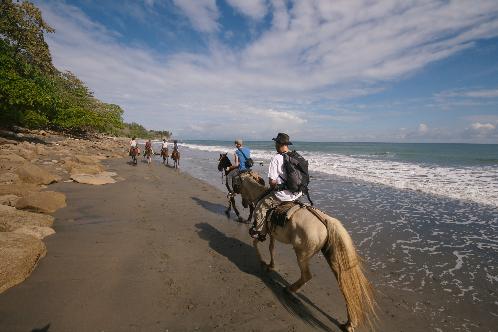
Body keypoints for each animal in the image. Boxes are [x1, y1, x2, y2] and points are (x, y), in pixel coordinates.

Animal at [239, 172, 376, 330]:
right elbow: (271, 248)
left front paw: (262, 262)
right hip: (334, 260)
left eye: (238, 184)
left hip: (302, 254)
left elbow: (255, 243)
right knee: (345, 286)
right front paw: (270, 265)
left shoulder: (261, 230)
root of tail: (325, 221)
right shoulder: (272, 233)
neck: (260, 195)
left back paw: (290, 289)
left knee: (306, 276)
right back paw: (348, 323)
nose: (243, 204)